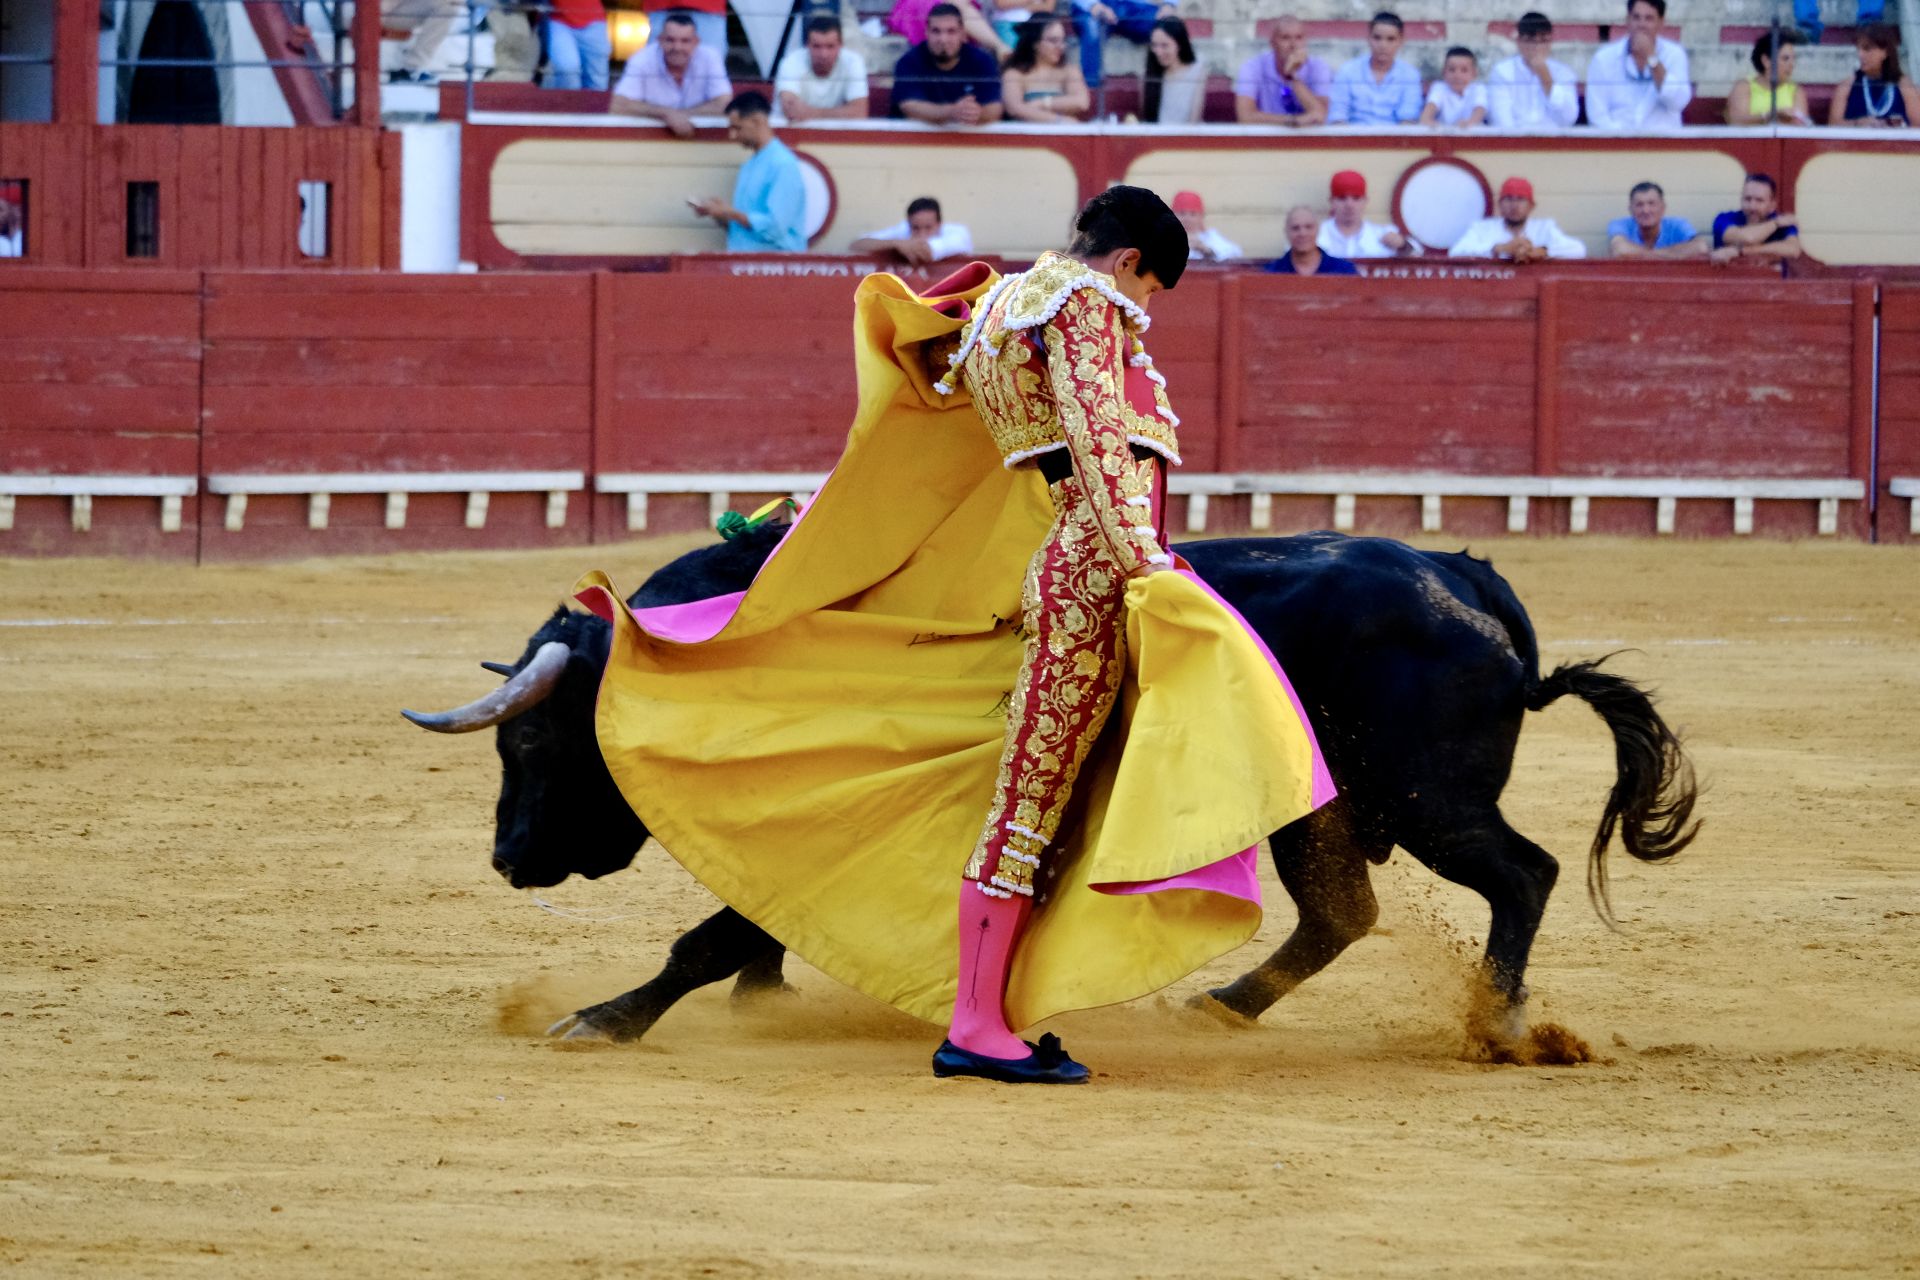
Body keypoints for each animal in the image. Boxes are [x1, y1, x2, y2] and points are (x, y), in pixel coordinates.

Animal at [405, 525, 1697, 1059]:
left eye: (537, 738)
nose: (509, 857)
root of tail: (1469, 579)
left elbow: (708, 934)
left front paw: (606, 1016)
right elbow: (750, 923)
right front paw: (759, 995)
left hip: (1429, 799)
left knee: (1522, 873)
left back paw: (1502, 1024)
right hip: (1328, 810)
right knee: (1342, 910)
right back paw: (1223, 1005)